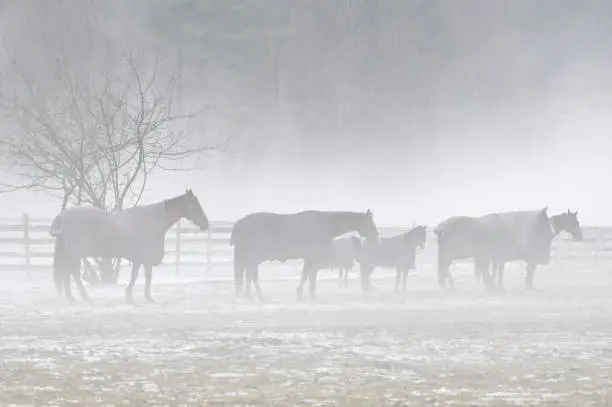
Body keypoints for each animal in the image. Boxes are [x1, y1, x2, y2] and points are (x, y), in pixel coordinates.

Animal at [48, 190, 210, 302]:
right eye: (194, 204)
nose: (205, 223)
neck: (153, 220)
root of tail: (63, 215)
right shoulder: (143, 258)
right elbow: (140, 277)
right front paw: (136, 297)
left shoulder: (141, 259)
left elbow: (142, 277)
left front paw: (140, 297)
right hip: (75, 254)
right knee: (73, 274)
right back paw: (84, 298)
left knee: (67, 274)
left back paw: (71, 298)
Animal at [231, 212, 380, 302]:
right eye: (370, 224)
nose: (376, 242)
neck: (325, 225)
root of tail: (239, 224)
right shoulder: (312, 258)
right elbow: (308, 276)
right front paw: (306, 294)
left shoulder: (311, 258)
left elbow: (308, 276)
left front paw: (305, 294)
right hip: (253, 256)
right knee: (251, 275)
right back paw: (256, 295)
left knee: (247, 275)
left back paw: (248, 295)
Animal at [432, 209, 580, 292]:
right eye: (575, 221)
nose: (580, 236)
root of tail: (441, 227)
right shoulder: (505, 257)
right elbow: (528, 272)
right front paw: (527, 286)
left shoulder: (497, 258)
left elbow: (496, 271)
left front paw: (495, 286)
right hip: (449, 254)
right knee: (444, 267)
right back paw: (449, 285)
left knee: (444, 268)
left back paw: (447, 285)